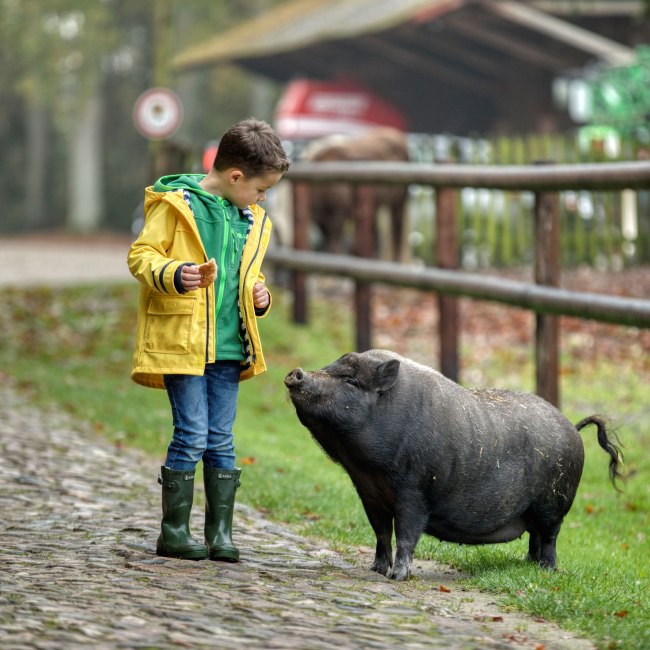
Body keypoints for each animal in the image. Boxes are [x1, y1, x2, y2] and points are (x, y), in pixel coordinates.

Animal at [284, 350, 624, 576]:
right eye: (328, 367)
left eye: (352, 381)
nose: (296, 373)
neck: (368, 469)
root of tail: (573, 428)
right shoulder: (369, 492)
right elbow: (380, 532)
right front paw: (376, 570)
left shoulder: (414, 491)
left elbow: (406, 534)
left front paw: (397, 576)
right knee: (536, 537)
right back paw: (527, 564)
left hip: (554, 502)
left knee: (550, 537)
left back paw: (547, 571)